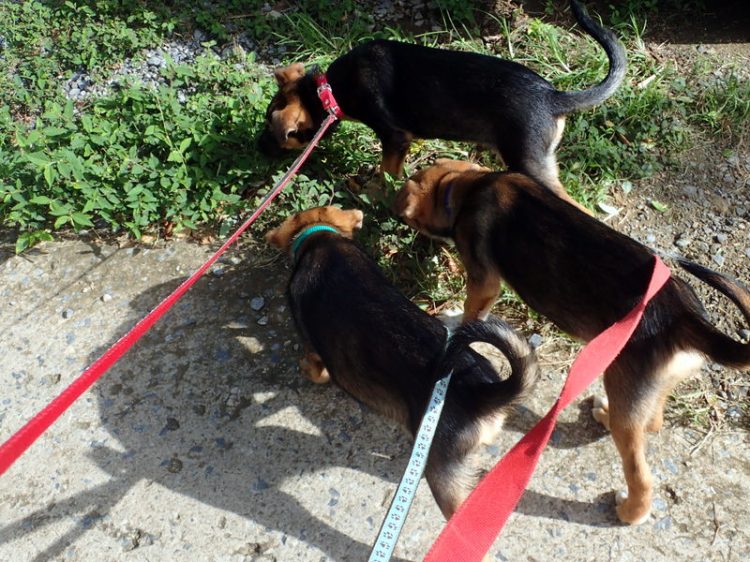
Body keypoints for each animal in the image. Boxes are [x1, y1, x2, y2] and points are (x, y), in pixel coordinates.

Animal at [257, 0, 625, 211]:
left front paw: (376, 193)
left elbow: (387, 171)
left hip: (529, 162)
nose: (259, 151)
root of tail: (553, 96)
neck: (330, 89)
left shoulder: (395, 137)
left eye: (275, 133)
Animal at [265, 205, 539, 519]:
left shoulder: (314, 348)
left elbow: (317, 369)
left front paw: (305, 369)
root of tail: (483, 392)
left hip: (442, 474)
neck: (321, 240)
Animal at [394, 159, 750, 525]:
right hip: (649, 383)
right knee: (651, 421)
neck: (467, 187)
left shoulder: (483, 283)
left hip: (624, 390)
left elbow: (471, 313)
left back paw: (630, 510)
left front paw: (453, 323)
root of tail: (684, 318)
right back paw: (607, 416)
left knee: (639, 469)